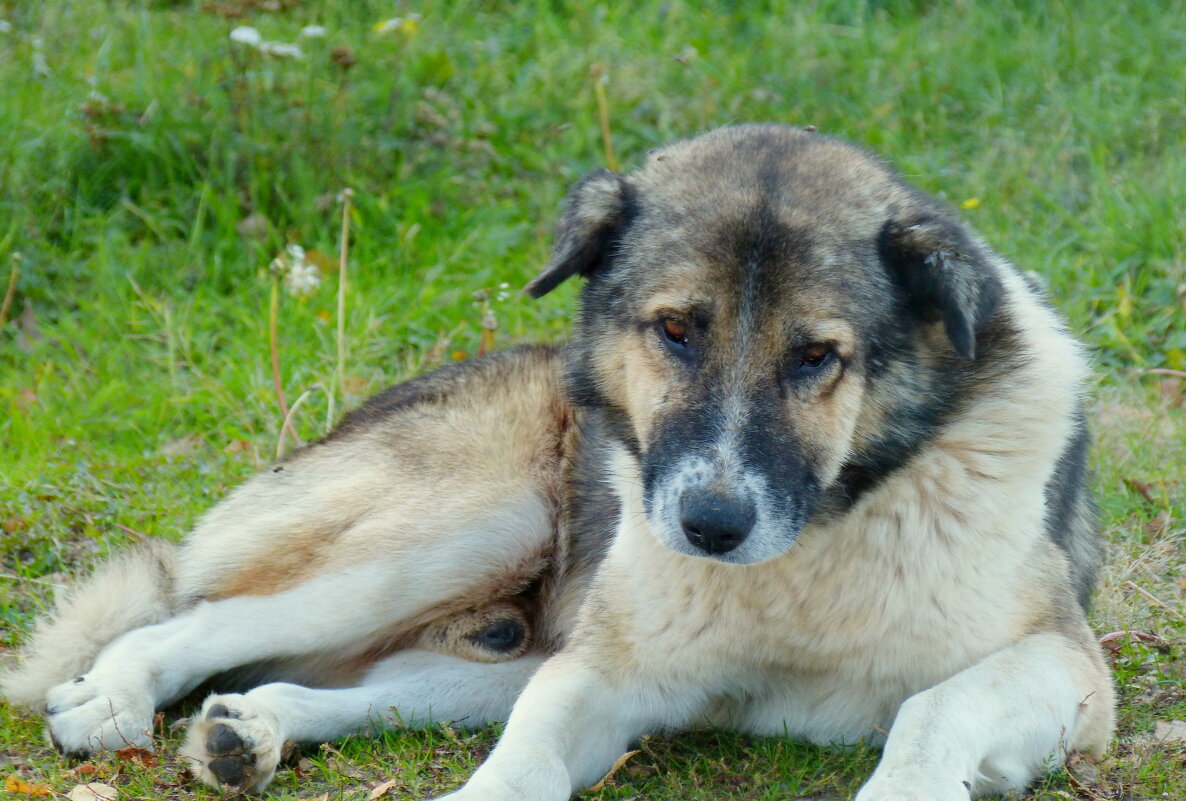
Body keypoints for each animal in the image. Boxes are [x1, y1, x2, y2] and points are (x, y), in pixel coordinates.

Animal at [0, 126, 1110, 801]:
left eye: (815, 357)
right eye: (674, 329)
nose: (709, 526)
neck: (811, 551)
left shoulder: (1069, 668)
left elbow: (932, 708)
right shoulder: (601, 676)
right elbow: (520, 762)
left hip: (503, 631)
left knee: (363, 680)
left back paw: (251, 729)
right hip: (471, 529)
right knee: (196, 619)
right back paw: (115, 697)